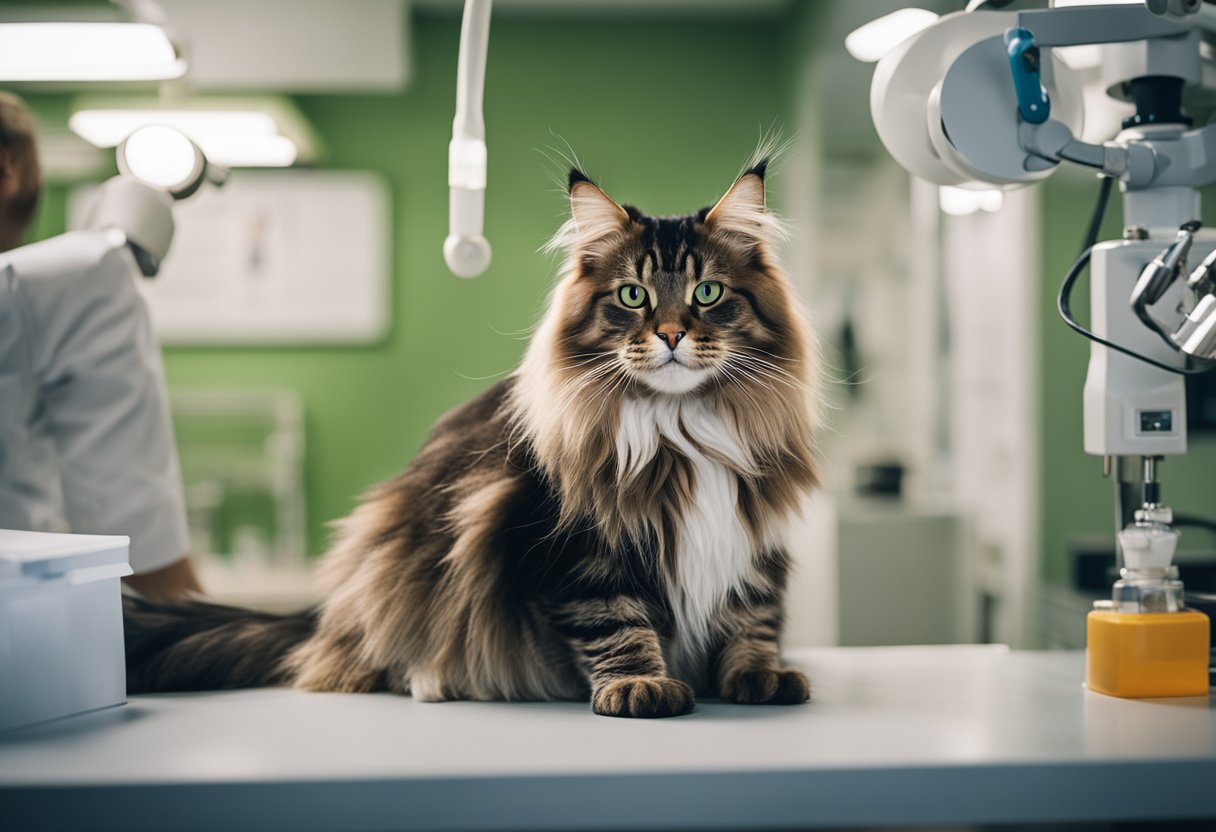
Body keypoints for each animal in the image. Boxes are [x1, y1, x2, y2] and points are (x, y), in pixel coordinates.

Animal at [125, 159, 817, 720]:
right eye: (632, 295)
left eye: (707, 292)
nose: (671, 334)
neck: (682, 429)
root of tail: (320, 618)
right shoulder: (574, 545)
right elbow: (616, 621)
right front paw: (640, 686)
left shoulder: (756, 534)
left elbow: (752, 616)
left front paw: (758, 675)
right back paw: (431, 680)